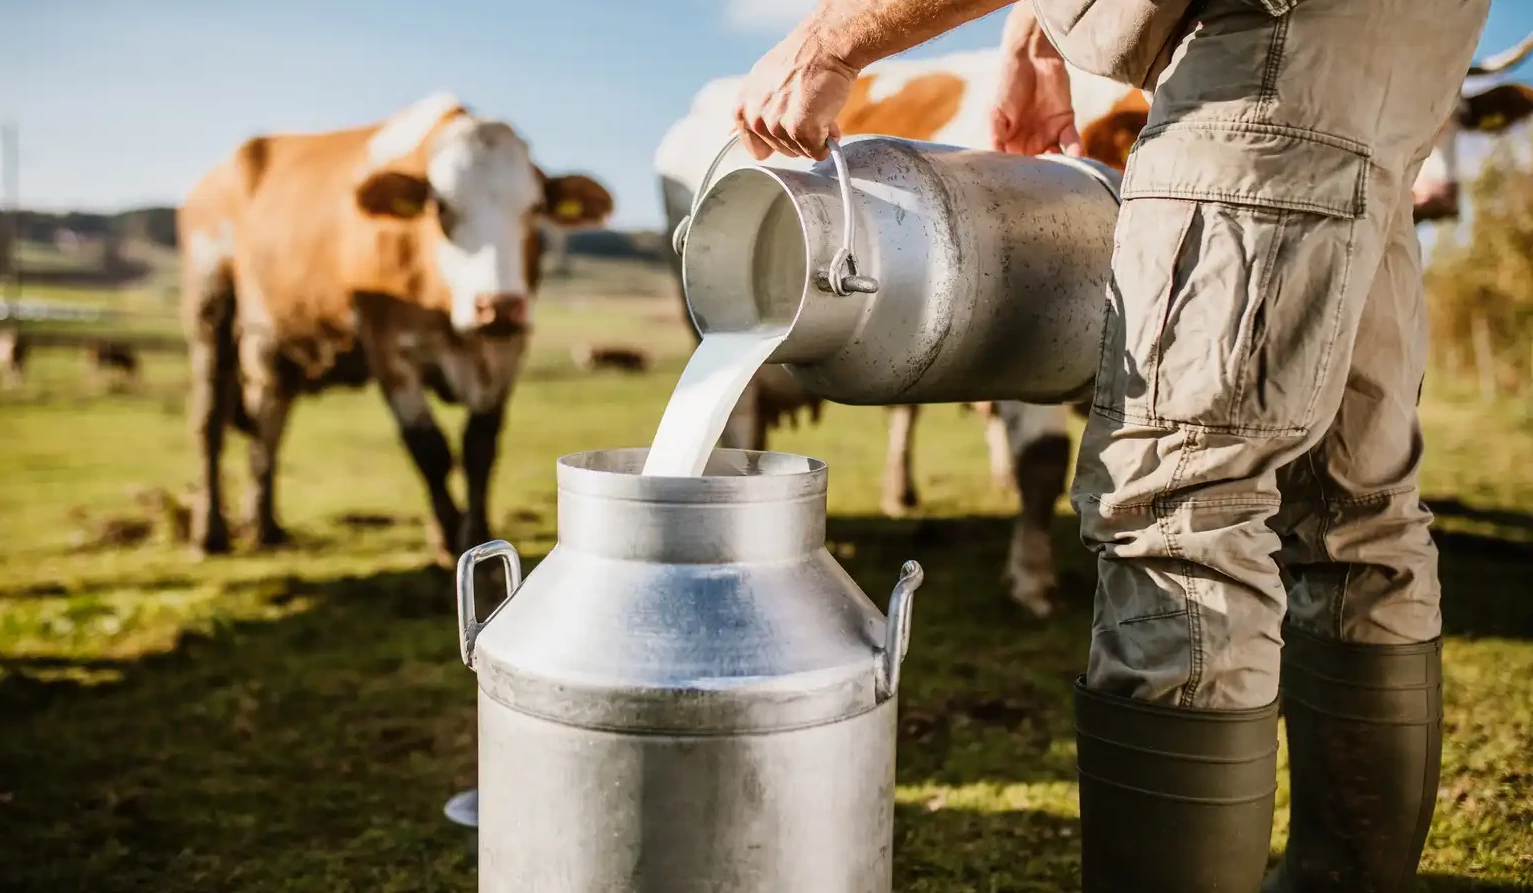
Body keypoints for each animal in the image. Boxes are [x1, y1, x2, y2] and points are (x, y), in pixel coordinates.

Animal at [179, 94, 610, 563]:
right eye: (442, 208)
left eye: (533, 210)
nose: (498, 306)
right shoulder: (389, 348)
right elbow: (430, 448)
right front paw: (447, 538)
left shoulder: (507, 351)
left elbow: (480, 447)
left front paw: (477, 533)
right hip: (211, 309)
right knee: (209, 421)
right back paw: (209, 533)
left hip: (275, 348)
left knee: (268, 425)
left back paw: (265, 525)